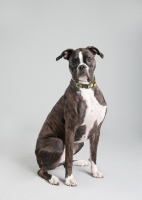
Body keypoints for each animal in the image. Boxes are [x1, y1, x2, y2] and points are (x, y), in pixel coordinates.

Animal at [35, 46, 106, 187]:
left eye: (88, 59)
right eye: (74, 61)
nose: (82, 66)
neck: (86, 89)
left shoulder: (96, 130)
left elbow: (93, 155)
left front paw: (95, 172)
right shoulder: (70, 128)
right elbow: (68, 159)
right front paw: (69, 179)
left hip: (79, 143)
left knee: (62, 162)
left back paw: (80, 162)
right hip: (58, 142)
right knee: (43, 169)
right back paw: (52, 178)